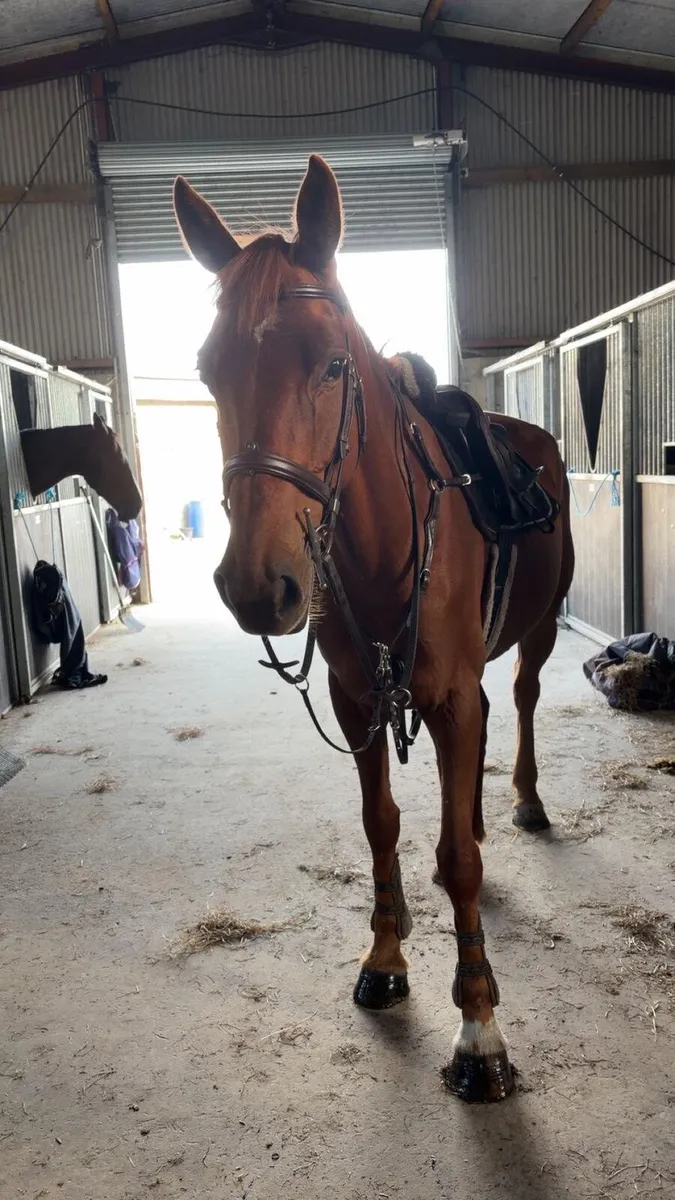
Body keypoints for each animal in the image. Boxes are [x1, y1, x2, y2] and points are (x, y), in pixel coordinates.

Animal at [173, 156, 574, 1104]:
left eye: (329, 365)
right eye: (207, 370)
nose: (257, 585)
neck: (386, 547)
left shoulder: (450, 695)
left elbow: (456, 864)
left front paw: (479, 1033)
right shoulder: (358, 701)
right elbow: (382, 825)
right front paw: (386, 958)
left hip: (535, 634)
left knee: (522, 701)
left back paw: (524, 802)